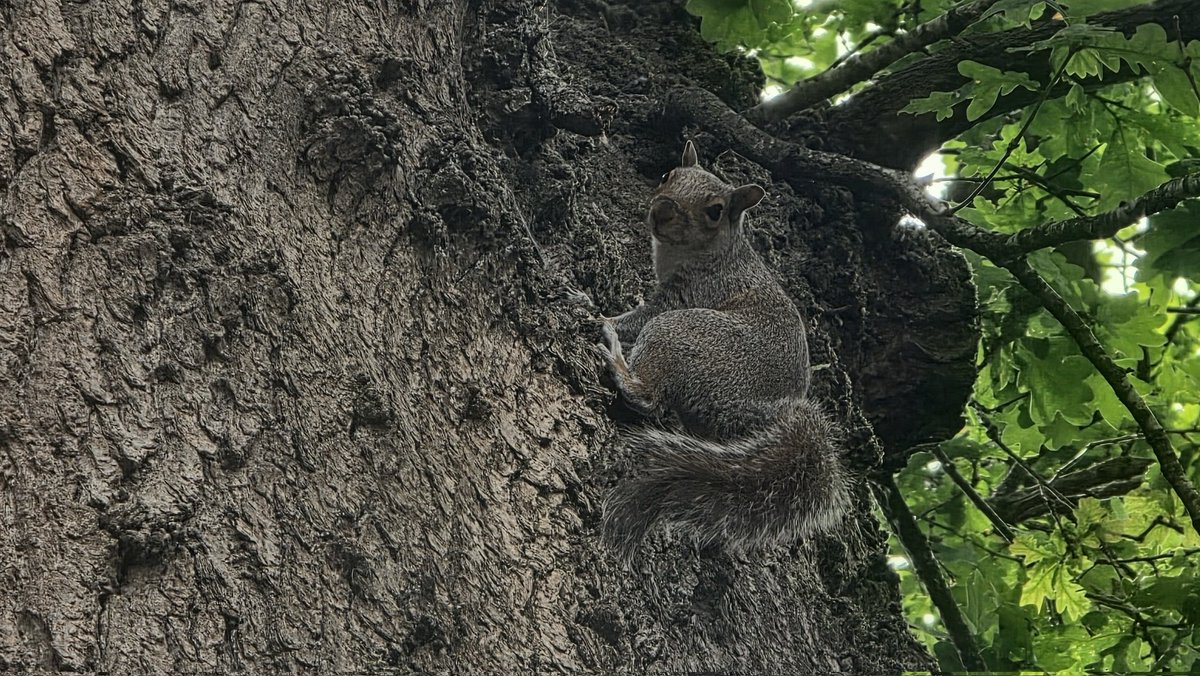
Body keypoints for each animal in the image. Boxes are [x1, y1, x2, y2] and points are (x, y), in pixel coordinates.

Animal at [596, 140, 851, 563]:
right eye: (667, 175)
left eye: (715, 210)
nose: (663, 209)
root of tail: (758, 409)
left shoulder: (693, 293)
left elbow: (638, 317)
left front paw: (598, 313)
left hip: (683, 333)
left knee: (648, 397)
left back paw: (620, 364)